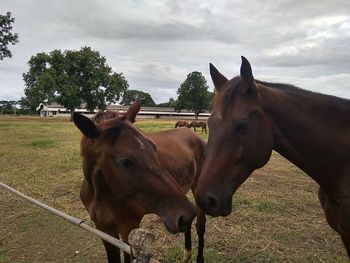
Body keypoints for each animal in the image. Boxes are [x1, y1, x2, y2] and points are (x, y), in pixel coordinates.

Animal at [73, 101, 206, 263]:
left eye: (154, 147)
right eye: (125, 161)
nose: (184, 216)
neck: (100, 194)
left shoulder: (128, 228)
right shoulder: (104, 230)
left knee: (200, 225)